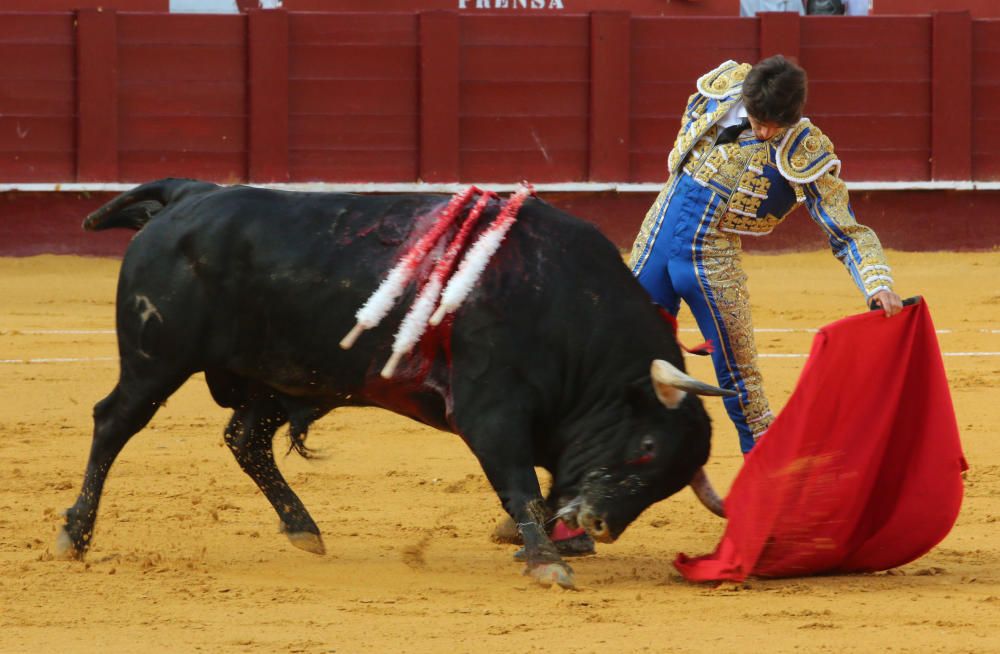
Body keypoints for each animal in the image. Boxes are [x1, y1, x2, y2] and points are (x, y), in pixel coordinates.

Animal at [56, 179, 736, 588]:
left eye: (669, 481)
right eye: (645, 448)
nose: (598, 525)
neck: (567, 309)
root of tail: (188, 194)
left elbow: (537, 489)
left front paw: (533, 543)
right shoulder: (492, 413)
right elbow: (519, 485)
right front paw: (546, 561)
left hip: (278, 377)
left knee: (246, 439)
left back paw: (303, 528)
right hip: (155, 359)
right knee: (113, 423)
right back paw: (73, 536)